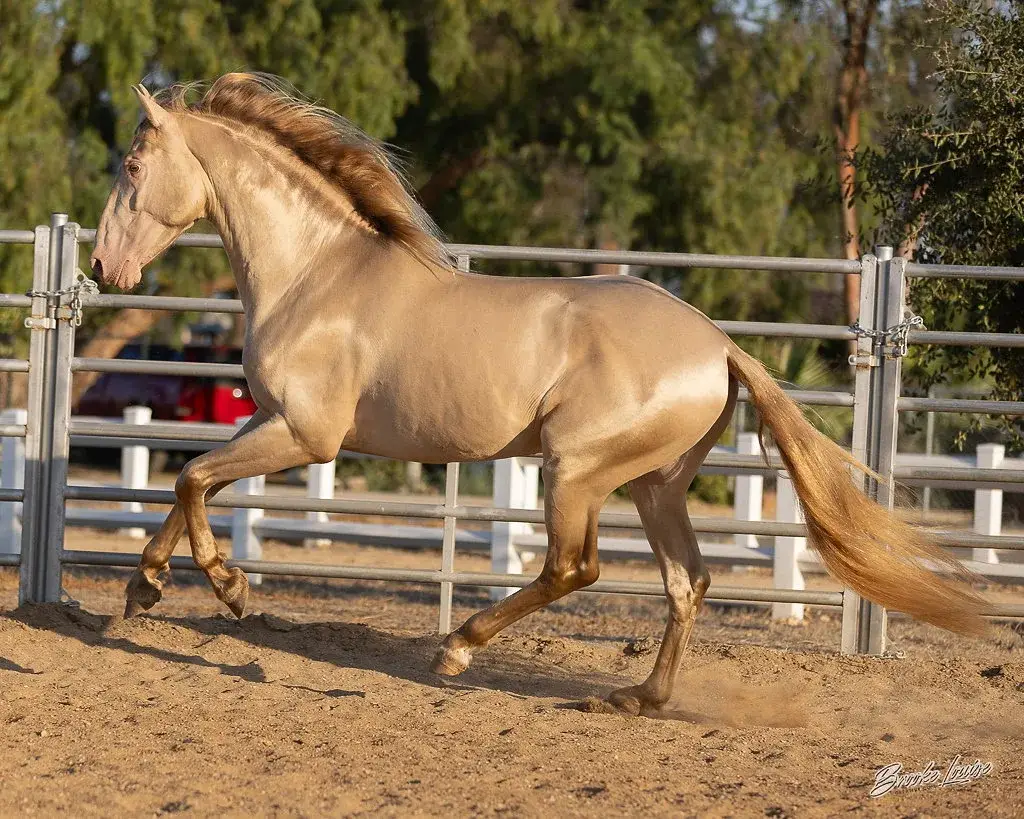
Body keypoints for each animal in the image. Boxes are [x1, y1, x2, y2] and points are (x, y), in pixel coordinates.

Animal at [90, 73, 987, 716]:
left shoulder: (307, 435)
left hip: (576, 469)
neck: (318, 272)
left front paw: (228, 587)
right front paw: (142, 588)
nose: (103, 269)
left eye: (132, 168)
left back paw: (458, 646)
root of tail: (719, 344)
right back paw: (637, 697)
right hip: (656, 483)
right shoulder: (269, 420)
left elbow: (191, 479)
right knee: (686, 581)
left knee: (573, 566)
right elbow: (191, 483)